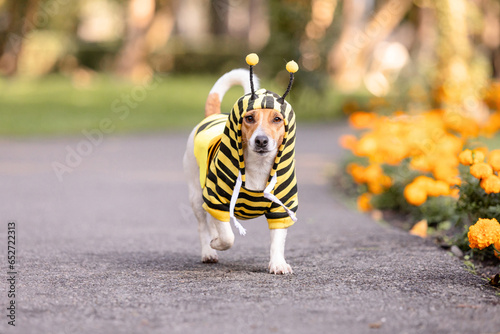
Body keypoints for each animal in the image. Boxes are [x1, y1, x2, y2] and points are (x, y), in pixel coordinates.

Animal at [185, 54, 298, 274]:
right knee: (204, 225)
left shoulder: (282, 207)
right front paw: (216, 243)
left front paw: (278, 263)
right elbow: (228, 237)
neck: (258, 168)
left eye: (277, 119)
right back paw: (208, 251)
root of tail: (213, 115)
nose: (261, 140)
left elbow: (277, 240)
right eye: (249, 118)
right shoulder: (217, 199)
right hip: (196, 194)